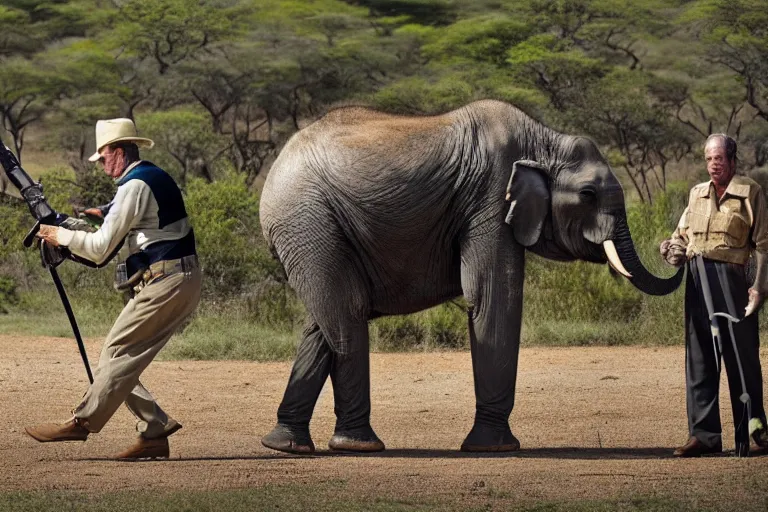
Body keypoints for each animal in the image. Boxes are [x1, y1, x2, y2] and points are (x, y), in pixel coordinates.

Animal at [260, 99, 684, 452]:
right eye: (588, 195)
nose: (673, 250)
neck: (543, 141)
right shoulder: (491, 196)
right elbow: (494, 297)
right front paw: (496, 448)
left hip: (313, 229)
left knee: (326, 319)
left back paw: (287, 446)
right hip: (306, 218)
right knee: (347, 313)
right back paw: (359, 446)